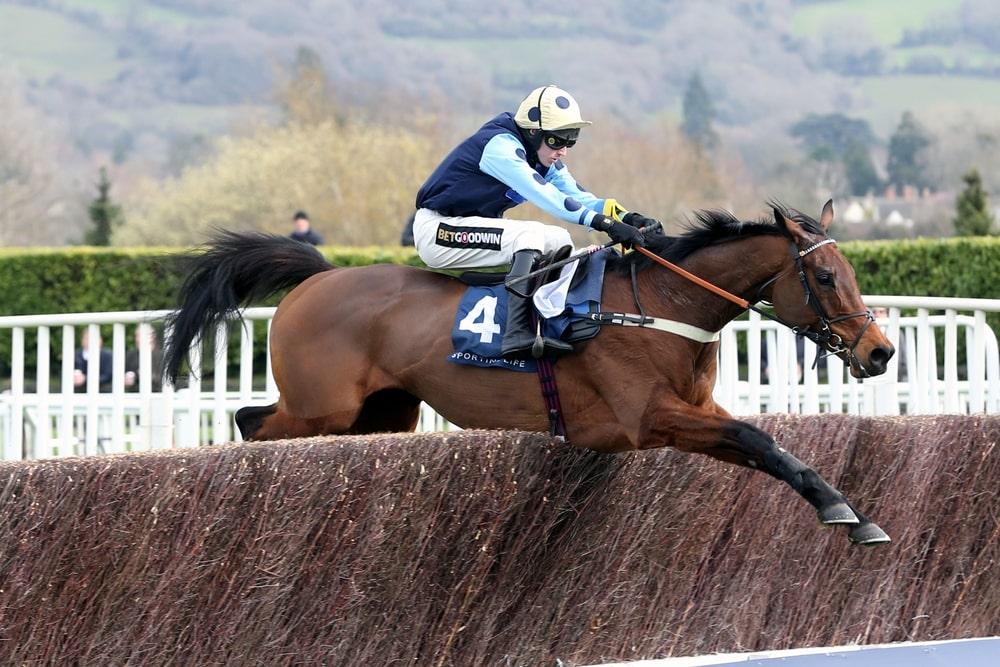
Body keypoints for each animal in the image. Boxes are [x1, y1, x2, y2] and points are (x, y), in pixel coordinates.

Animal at [166, 204, 900, 548]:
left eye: (850, 271)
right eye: (825, 276)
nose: (880, 352)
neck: (662, 305)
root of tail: (317, 277)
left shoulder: (697, 411)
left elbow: (770, 449)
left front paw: (852, 512)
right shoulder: (648, 418)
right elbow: (759, 440)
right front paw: (845, 511)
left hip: (385, 412)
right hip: (323, 407)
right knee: (250, 420)